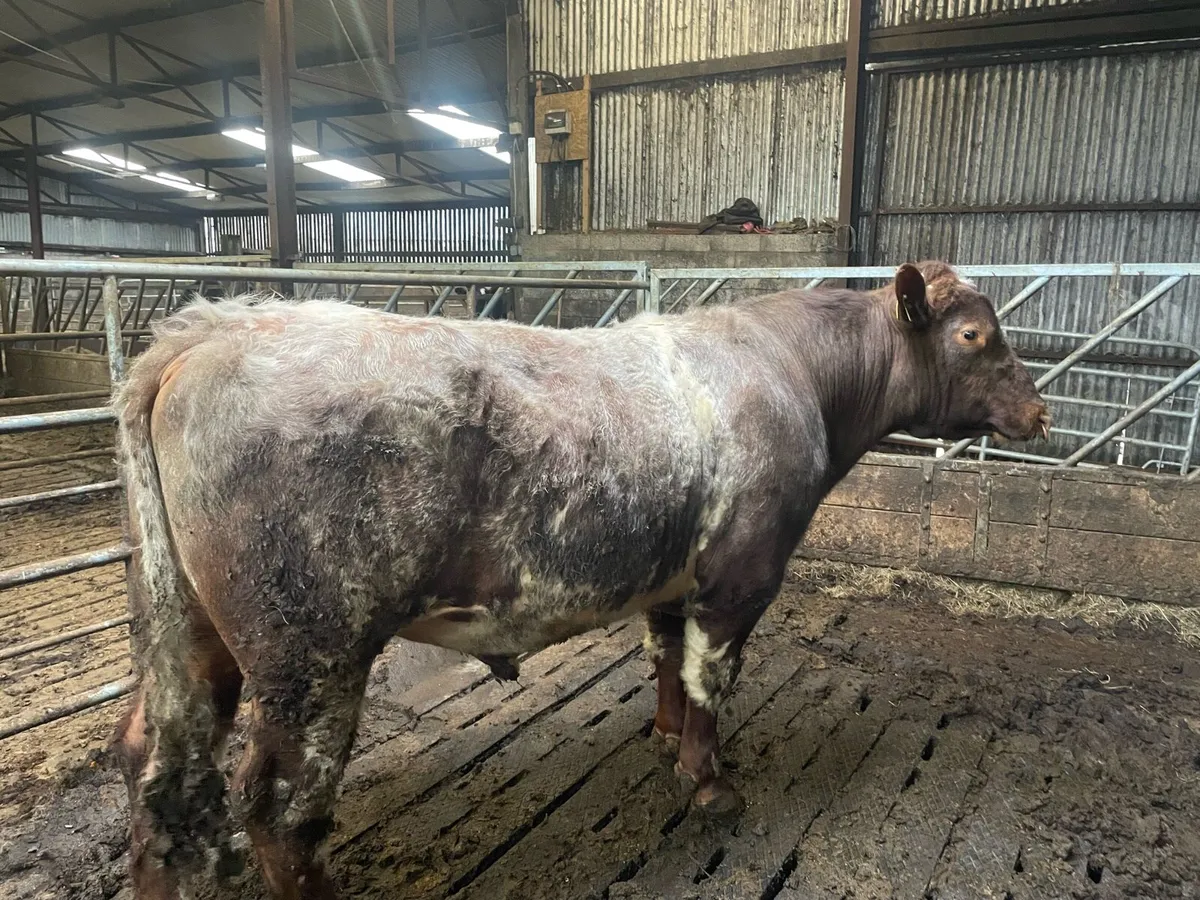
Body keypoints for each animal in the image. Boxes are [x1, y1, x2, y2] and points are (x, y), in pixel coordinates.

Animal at [110, 261, 1049, 899]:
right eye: (973, 335)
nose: (1039, 411)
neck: (795, 374)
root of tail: (210, 331)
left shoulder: (671, 575)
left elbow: (667, 657)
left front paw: (667, 737)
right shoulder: (741, 575)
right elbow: (711, 677)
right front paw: (709, 778)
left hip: (187, 630)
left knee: (156, 762)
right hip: (311, 650)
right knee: (277, 803)